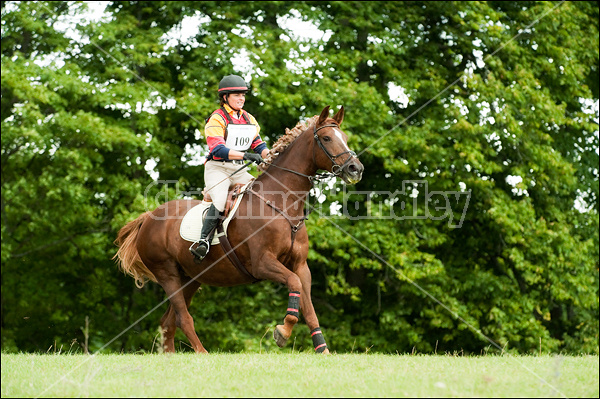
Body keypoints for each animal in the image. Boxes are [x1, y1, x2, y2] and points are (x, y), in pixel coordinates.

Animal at [114, 105, 364, 354]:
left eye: (345, 138)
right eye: (327, 138)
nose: (356, 169)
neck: (282, 205)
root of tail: (147, 218)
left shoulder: (301, 266)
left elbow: (309, 308)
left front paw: (323, 350)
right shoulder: (262, 263)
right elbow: (293, 284)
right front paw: (282, 332)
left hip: (191, 278)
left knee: (169, 322)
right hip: (168, 275)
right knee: (183, 318)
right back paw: (202, 353)